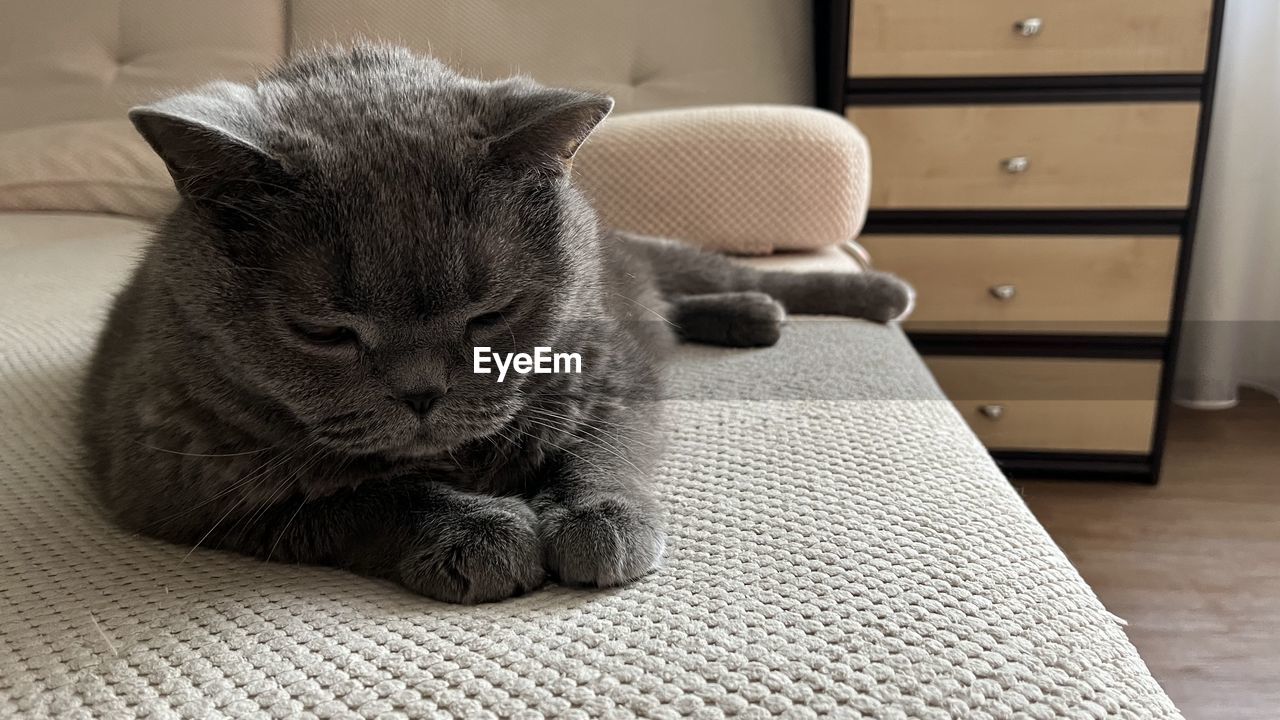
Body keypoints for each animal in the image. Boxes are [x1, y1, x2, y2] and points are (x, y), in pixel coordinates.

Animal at [80, 44, 916, 602]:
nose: (422, 393)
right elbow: (363, 495)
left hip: (649, 270)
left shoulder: (610, 372)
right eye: (324, 332)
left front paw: (599, 522)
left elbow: (603, 449)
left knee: (720, 275)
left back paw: (858, 297)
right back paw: (756, 319)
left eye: (492, 315)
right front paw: (479, 534)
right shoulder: (184, 482)